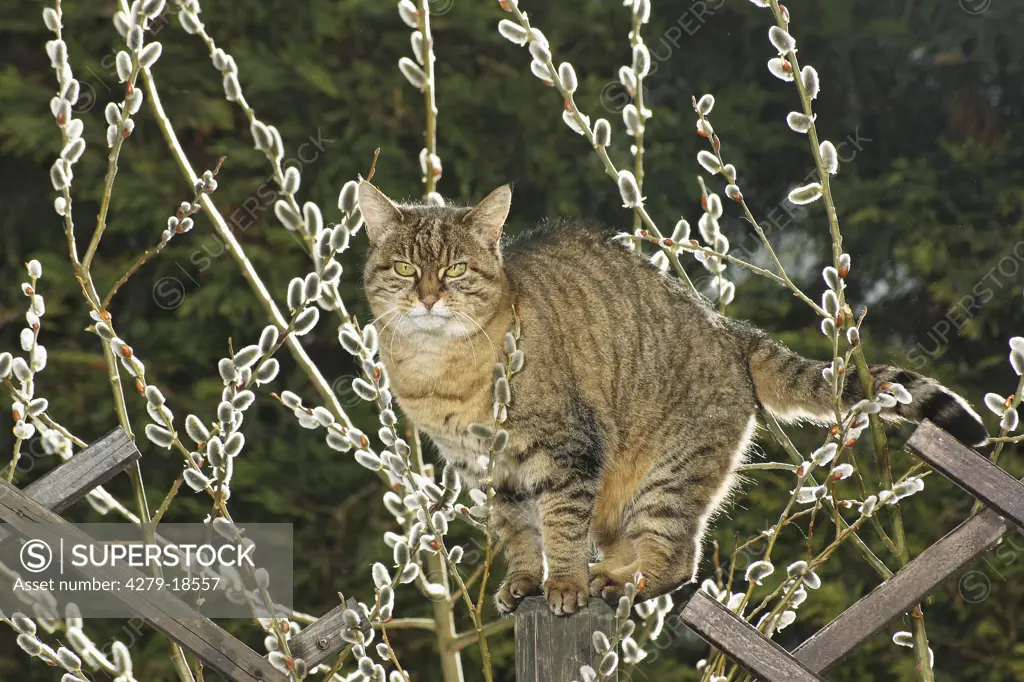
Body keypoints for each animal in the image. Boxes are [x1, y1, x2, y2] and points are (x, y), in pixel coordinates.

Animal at [356, 180, 987, 614]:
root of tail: (732, 329)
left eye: (457, 269)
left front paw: (564, 584)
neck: (438, 372)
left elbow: (560, 525)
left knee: (679, 558)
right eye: (406, 267)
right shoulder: (490, 470)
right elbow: (518, 532)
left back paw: (616, 582)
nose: (429, 297)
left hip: (669, 474)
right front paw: (526, 581)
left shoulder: (564, 451)